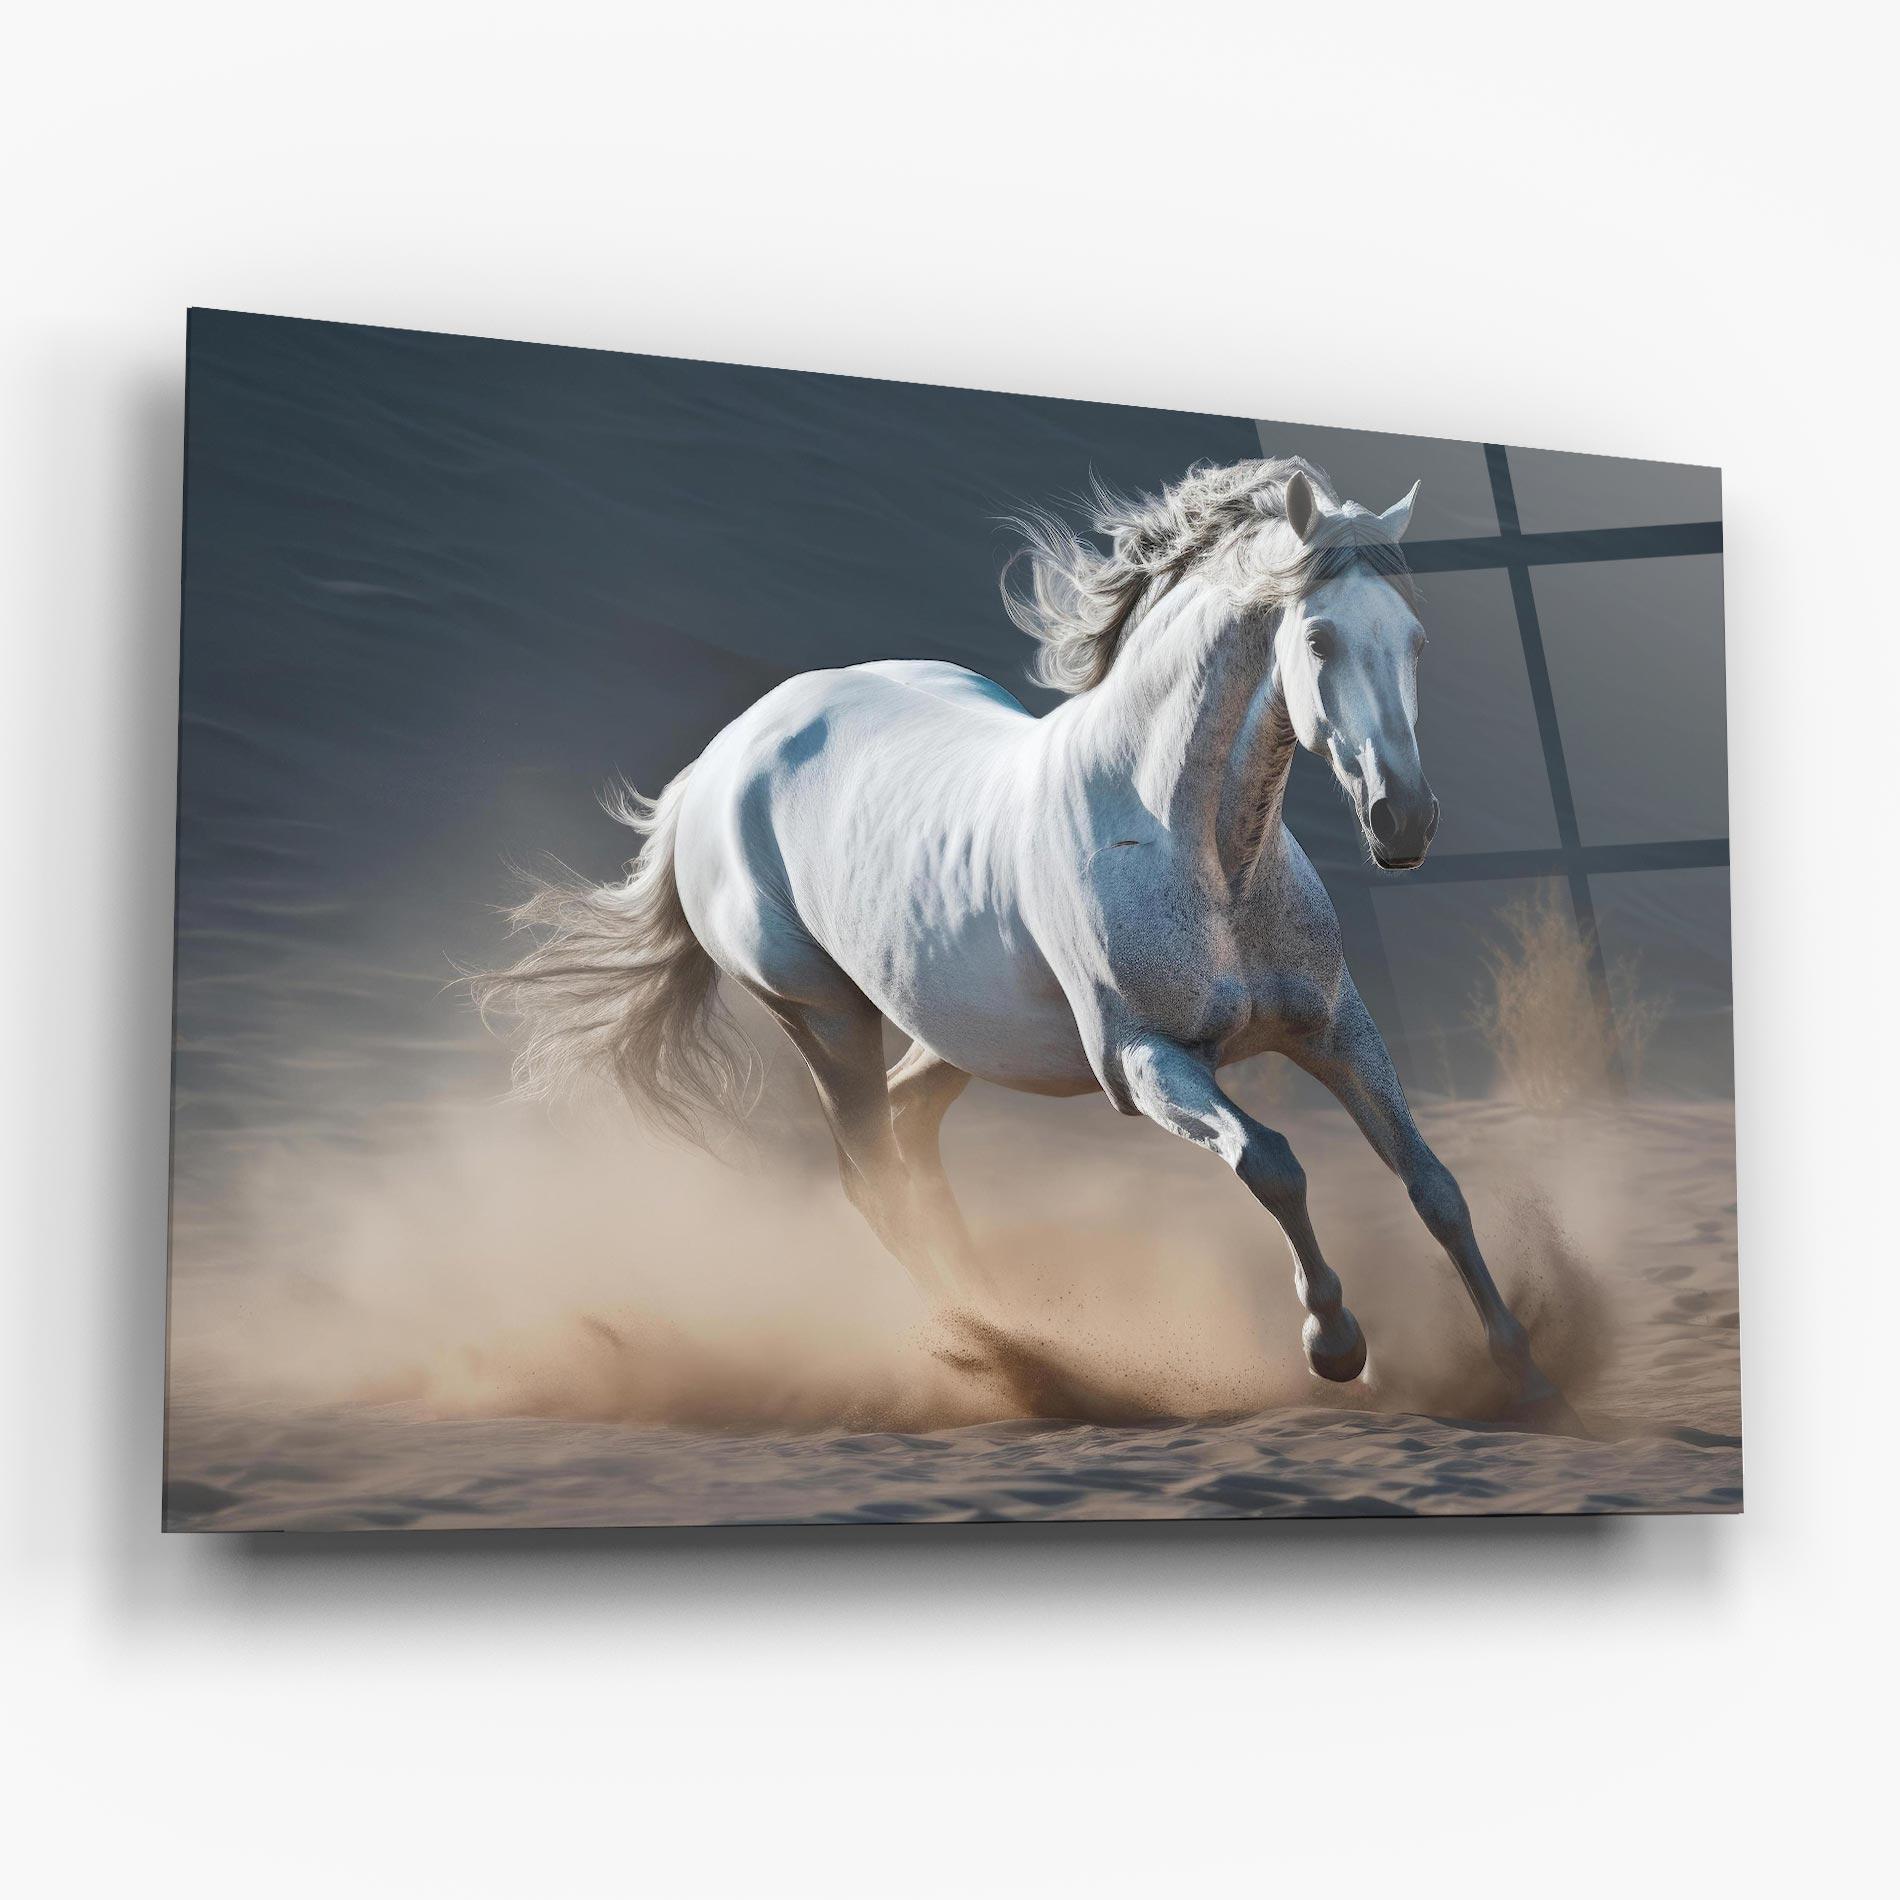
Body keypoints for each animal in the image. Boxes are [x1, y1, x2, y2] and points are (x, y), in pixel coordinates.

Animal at [473, 456, 1579, 1432]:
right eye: (1317, 639)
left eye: (1415, 640)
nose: (1403, 821)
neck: (1197, 851)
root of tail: (717, 762)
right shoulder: (1145, 1063)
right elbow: (1273, 1163)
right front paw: (1336, 1346)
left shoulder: (1336, 1028)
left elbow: (1434, 1185)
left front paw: (1524, 1371)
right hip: (822, 1018)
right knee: (872, 1179)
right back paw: (1016, 1355)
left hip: (954, 1031)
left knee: (912, 1131)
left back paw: (1013, 1320)